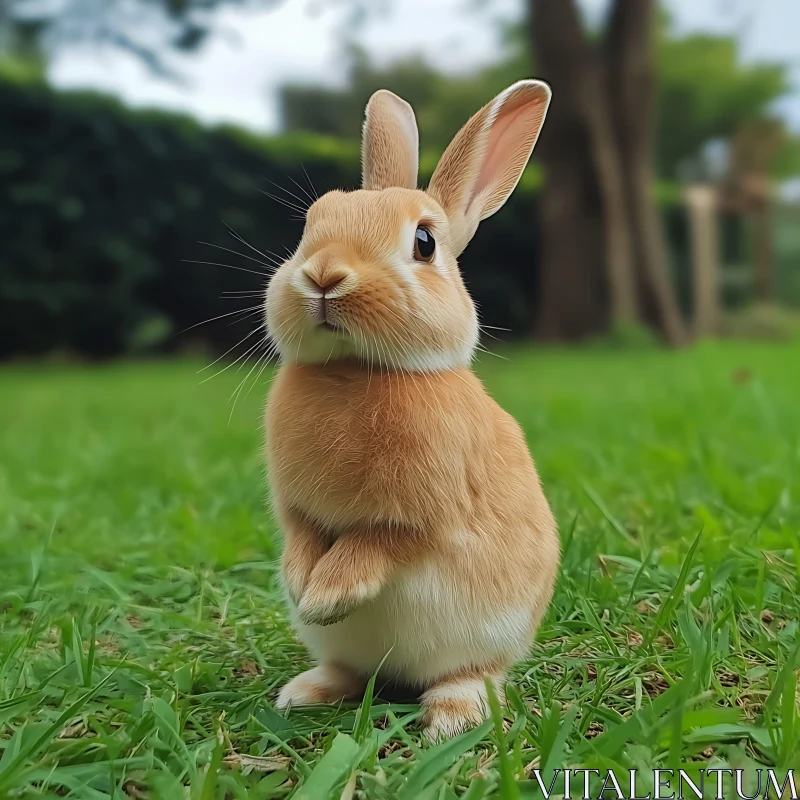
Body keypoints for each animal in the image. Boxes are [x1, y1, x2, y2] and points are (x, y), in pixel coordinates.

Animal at [266, 81, 560, 744]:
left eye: (424, 242)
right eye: (308, 227)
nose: (323, 275)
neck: (356, 371)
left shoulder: (421, 516)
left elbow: (376, 544)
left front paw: (324, 596)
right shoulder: (294, 507)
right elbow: (302, 534)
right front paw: (299, 584)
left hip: (478, 643)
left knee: (467, 677)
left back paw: (451, 721)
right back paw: (302, 693)